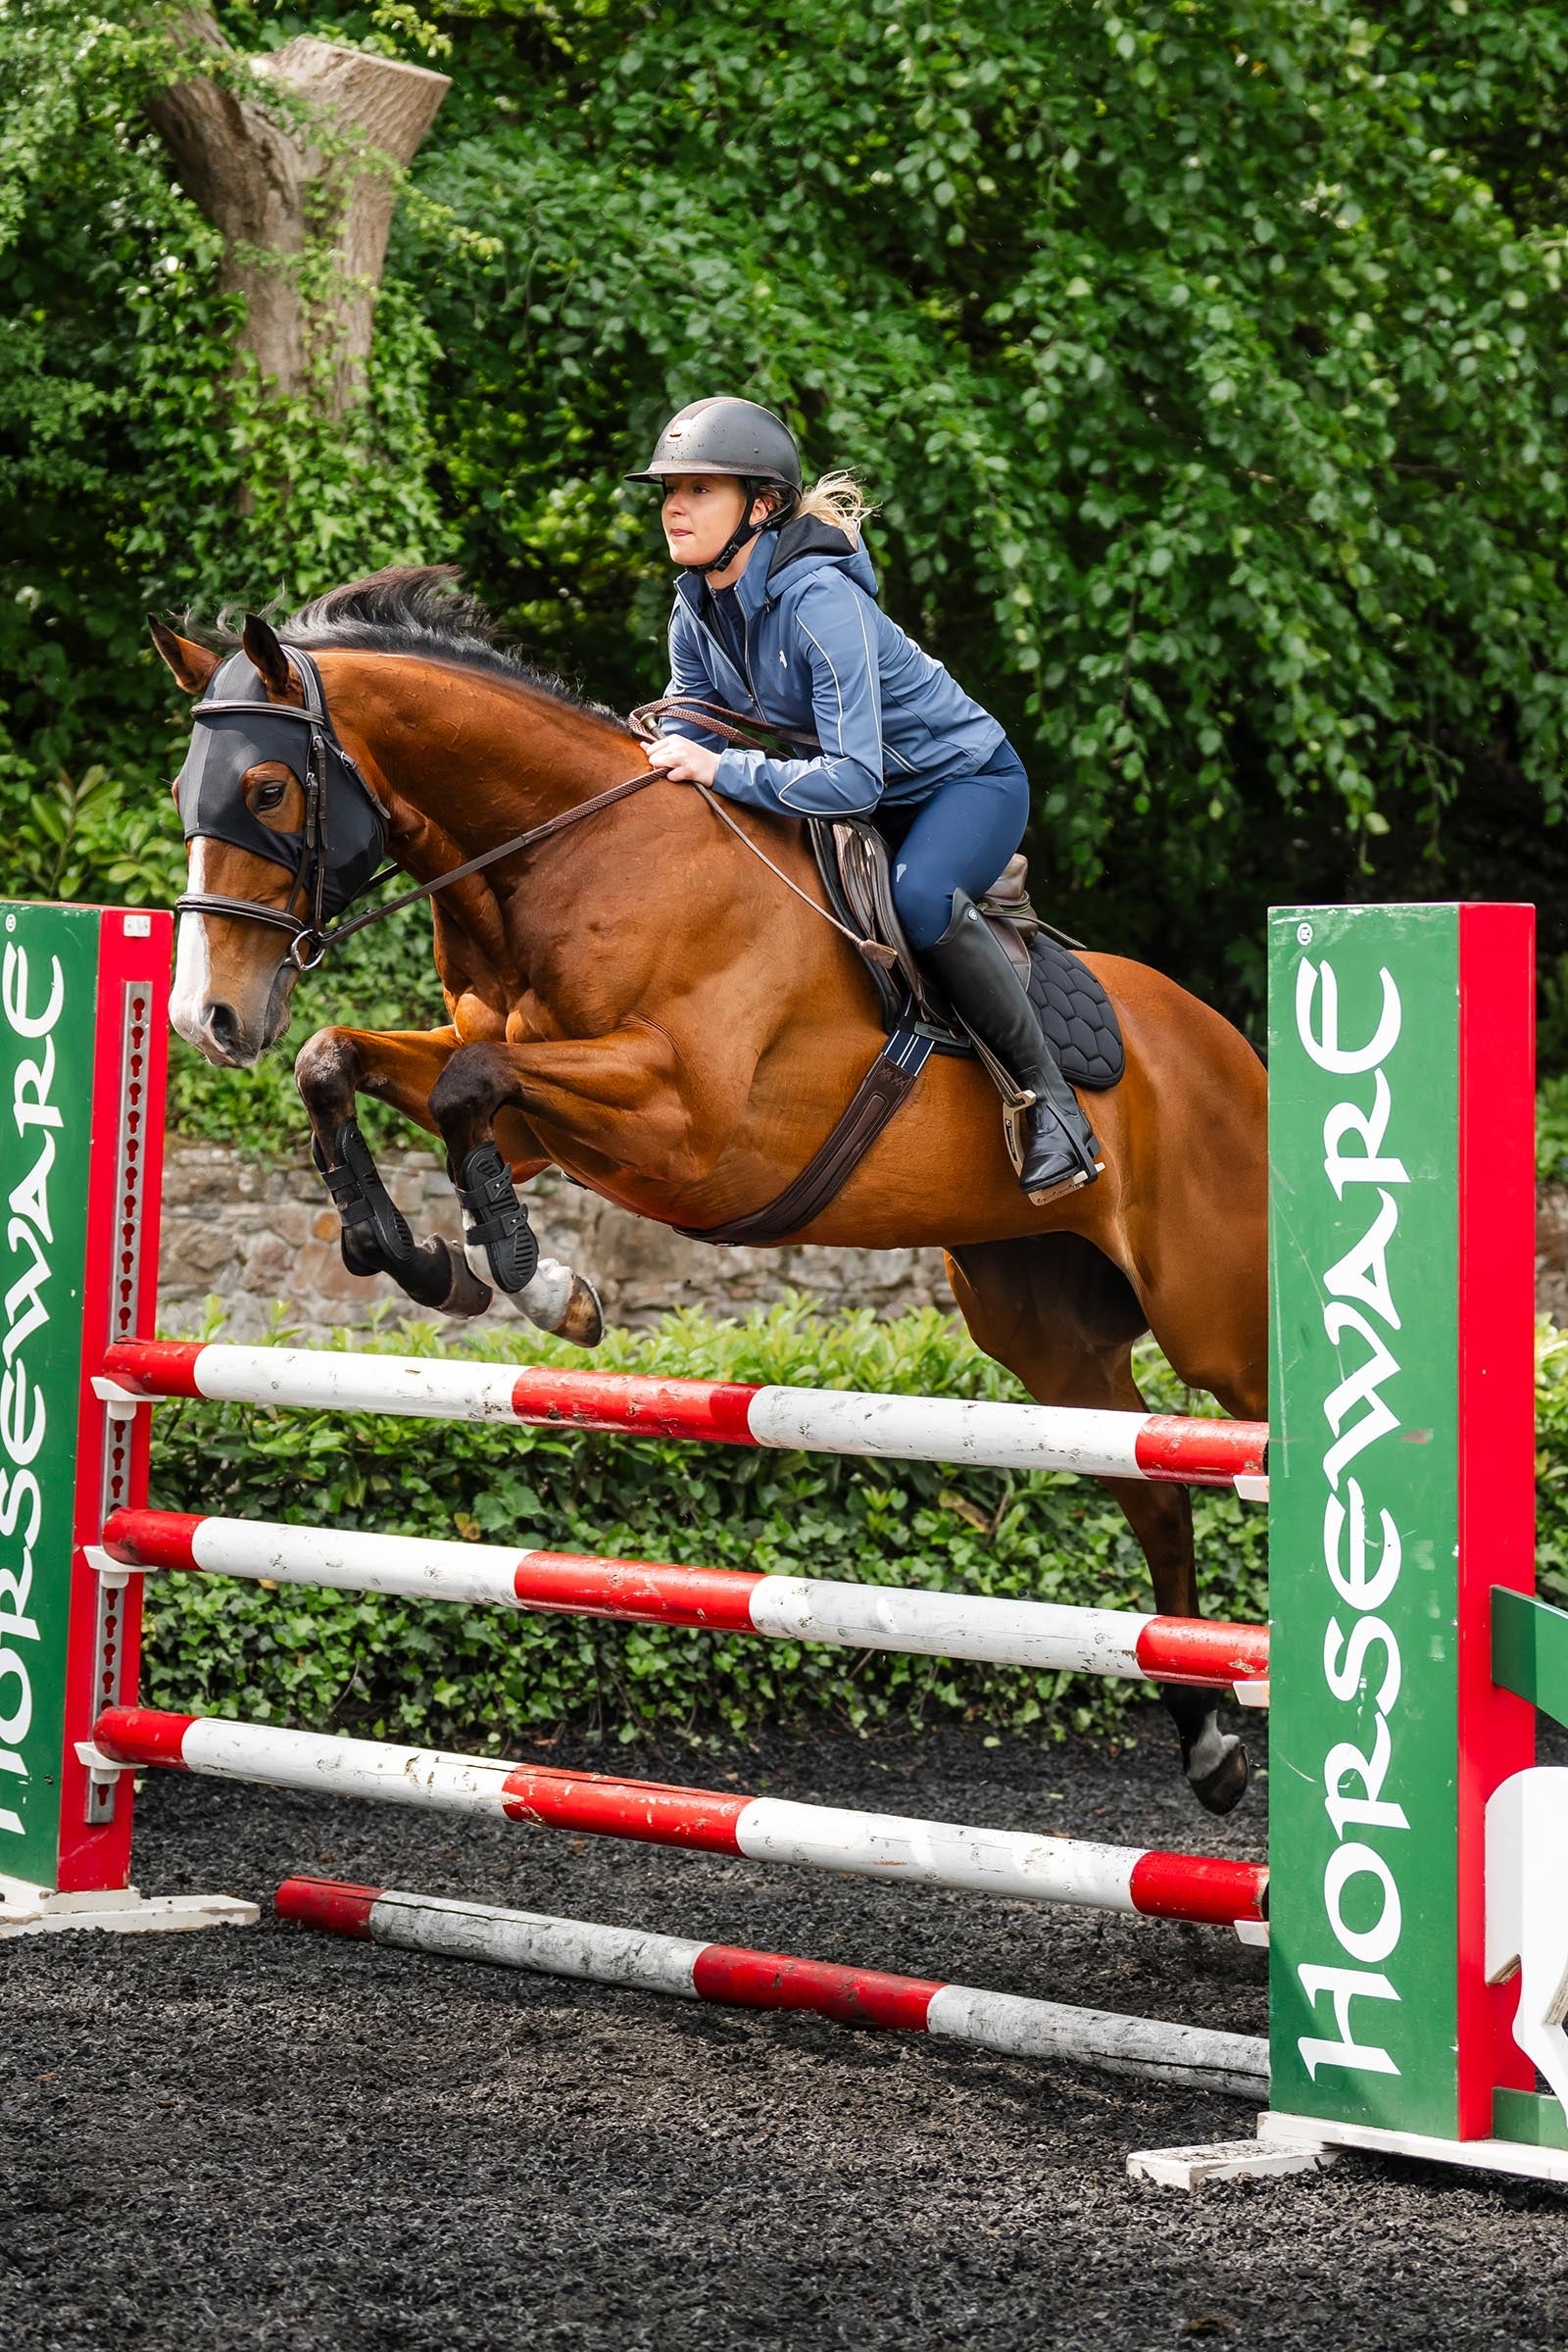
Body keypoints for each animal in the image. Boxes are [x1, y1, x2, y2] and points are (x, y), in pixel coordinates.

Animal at [151, 566, 1268, 1815]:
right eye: (186, 790)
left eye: (267, 788)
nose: (207, 1019)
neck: (567, 860)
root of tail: (1232, 1048)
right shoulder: (536, 1122)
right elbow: (345, 1062)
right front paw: (432, 1261)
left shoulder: (684, 1122)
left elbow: (464, 1089)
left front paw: (533, 1279)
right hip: (1046, 1334)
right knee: (1155, 1490)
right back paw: (1210, 1744)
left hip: (1220, 1319)